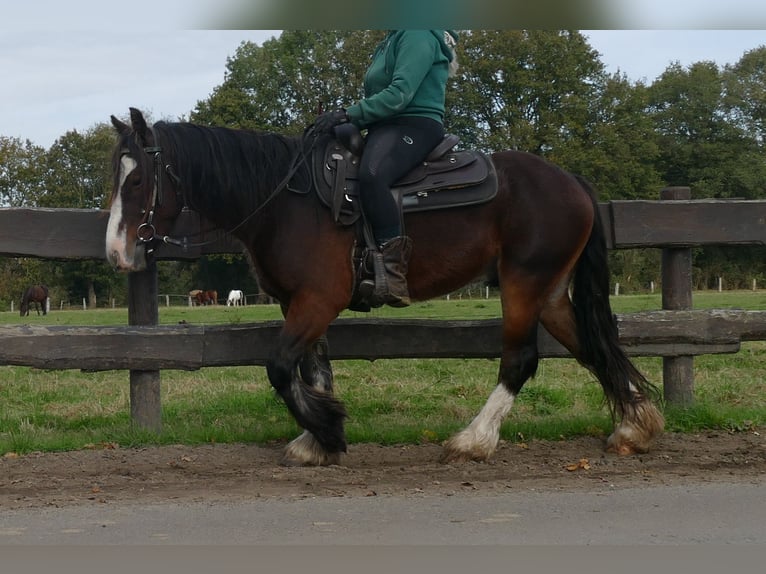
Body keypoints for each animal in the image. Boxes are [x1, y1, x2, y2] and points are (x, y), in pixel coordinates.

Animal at [105, 108, 664, 468]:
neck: (287, 202)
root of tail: (572, 181)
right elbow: (315, 370)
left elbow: (281, 368)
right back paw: (634, 428)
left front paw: (327, 431)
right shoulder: (299, 304)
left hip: (523, 285)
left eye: (137, 182)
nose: (115, 251)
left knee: (521, 360)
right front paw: (316, 439)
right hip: (548, 292)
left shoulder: (318, 300)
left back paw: (473, 441)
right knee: (593, 348)